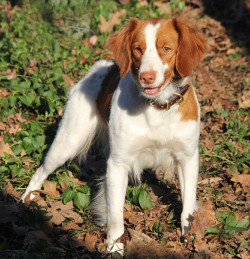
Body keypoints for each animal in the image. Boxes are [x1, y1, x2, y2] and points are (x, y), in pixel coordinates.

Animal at [21, 17, 205, 254]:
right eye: (138, 49)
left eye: (166, 48)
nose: (147, 77)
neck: (158, 107)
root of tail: (101, 66)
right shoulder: (119, 163)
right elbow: (117, 215)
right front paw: (115, 248)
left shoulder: (188, 158)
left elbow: (188, 204)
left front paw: (189, 237)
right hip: (68, 141)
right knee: (41, 171)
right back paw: (27, 201)